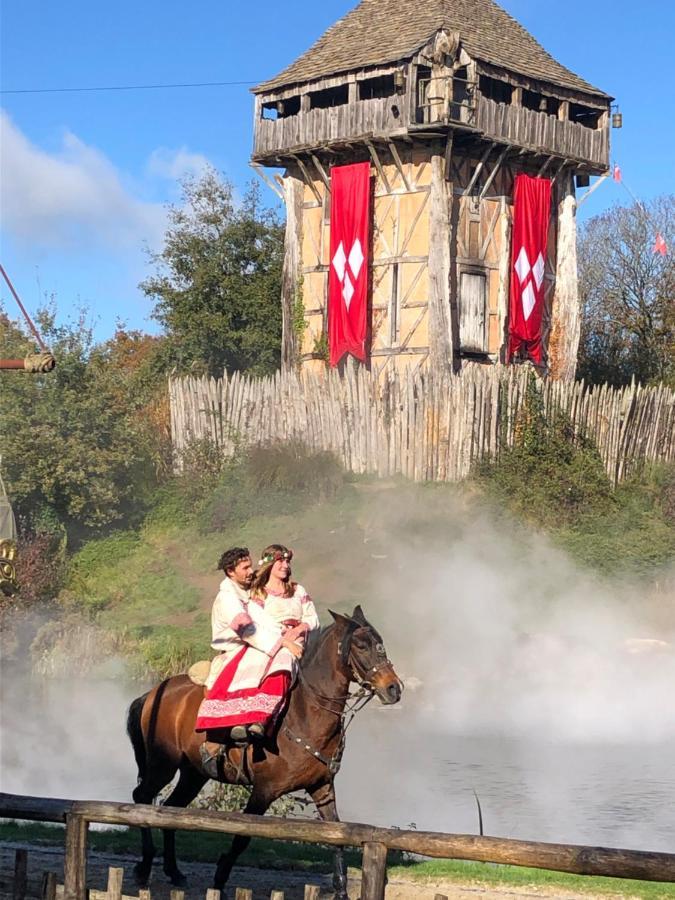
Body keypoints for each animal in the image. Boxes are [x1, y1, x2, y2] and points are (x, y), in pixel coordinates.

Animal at [125, 608, 402, 896]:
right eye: (361, 645)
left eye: (379, 642)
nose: (394, 688)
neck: (305, 712)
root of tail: (154, 692)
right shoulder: (264, 790)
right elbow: (242, 837)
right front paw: (219, 879)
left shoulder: (323, 787)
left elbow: (336, 835)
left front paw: (341, 890)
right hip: (163, 765)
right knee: (142, 799)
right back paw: (144, 868)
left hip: (193, 774)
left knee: (172, 810)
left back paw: (174, 871)